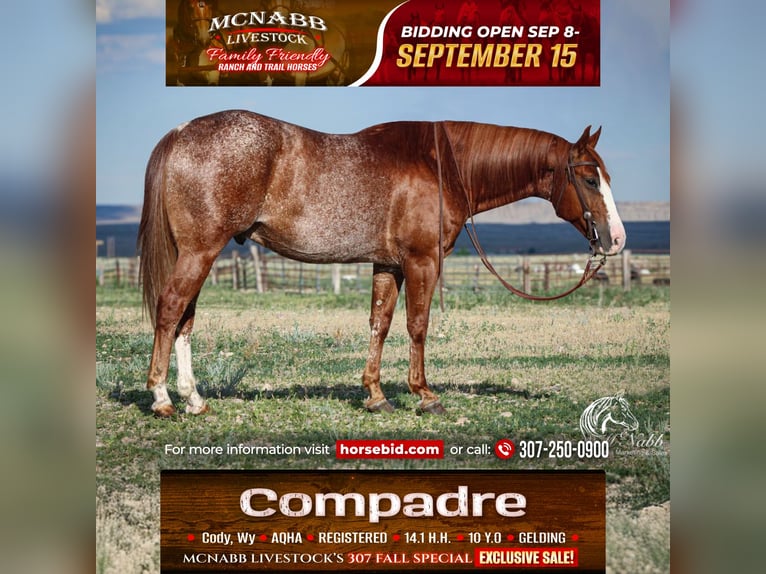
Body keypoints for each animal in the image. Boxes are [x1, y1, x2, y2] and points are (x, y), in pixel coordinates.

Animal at [137, 110, 626, 417]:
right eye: (589, 179)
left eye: (606, 175)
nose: (617, 239)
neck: (441, 164)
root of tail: (181, 132)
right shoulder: (422, 262)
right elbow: (418, 326)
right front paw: (425, 394)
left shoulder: (387, 265)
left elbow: (380, 324)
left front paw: (375, 395)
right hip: (201, 251)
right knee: (170, 308)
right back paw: (163, 399)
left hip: (198, 253)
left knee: (184, 320)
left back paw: (194, 399)